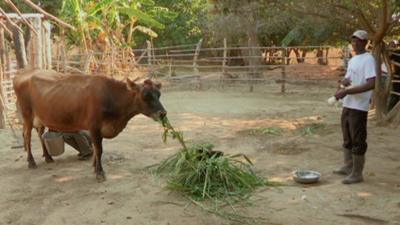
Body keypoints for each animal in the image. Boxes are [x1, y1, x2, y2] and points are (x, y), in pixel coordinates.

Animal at [13, 69, 167, 182]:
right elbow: (99, 149)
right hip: (27, 115)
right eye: (145, 96)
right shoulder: (94, 126)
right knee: (27, 136)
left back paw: (48, 157)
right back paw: (31, 162)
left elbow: (96, 148)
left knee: (40, 134)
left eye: (159, 94)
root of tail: (24, 74)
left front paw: (94, 166)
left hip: (40, 118)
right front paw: (99, 172)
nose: (163, 113)